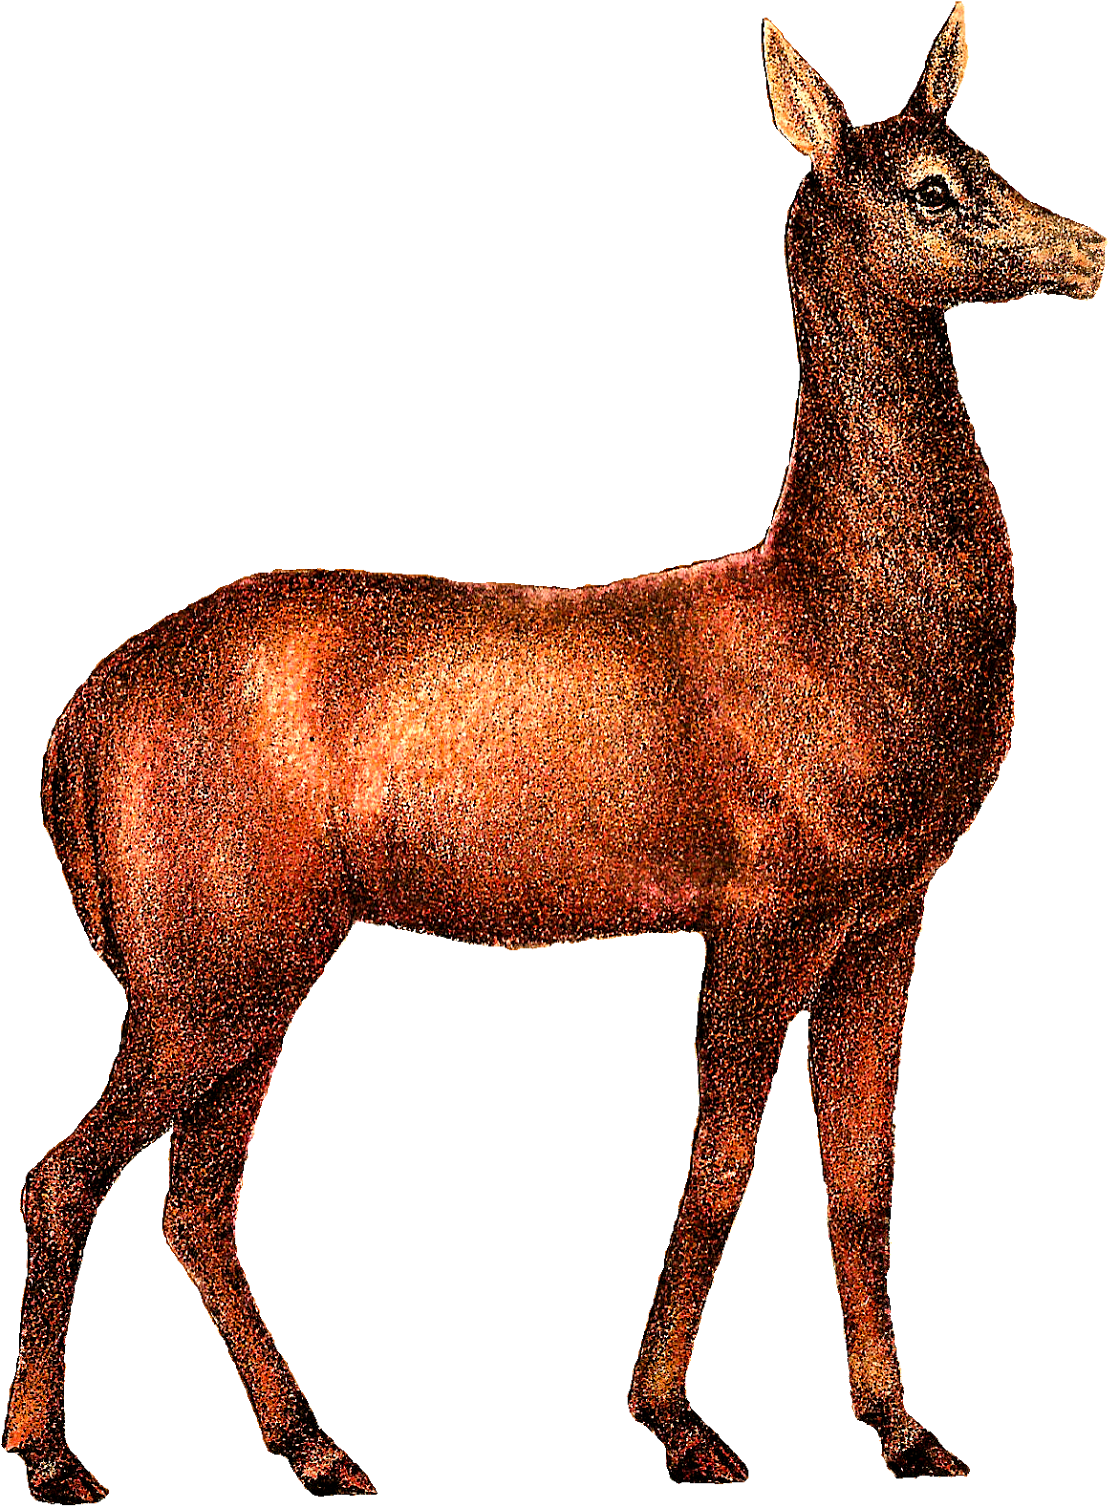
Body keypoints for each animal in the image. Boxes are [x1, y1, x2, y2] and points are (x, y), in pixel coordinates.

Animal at [6, 6, 1104, 1498]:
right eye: (931, 188)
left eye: (984, 150)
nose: (1089, 248)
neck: (831, 626)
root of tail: (77, 727)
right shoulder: (761, 908)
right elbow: (720, 1173)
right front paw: (680, 1424)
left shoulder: (888, 916)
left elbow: (866, 1184)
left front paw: (905, 1430)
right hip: (208, 956)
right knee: (70, 1176)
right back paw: (52, 1457)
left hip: (249, 962)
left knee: (195, 1201)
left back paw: (317, 1446)